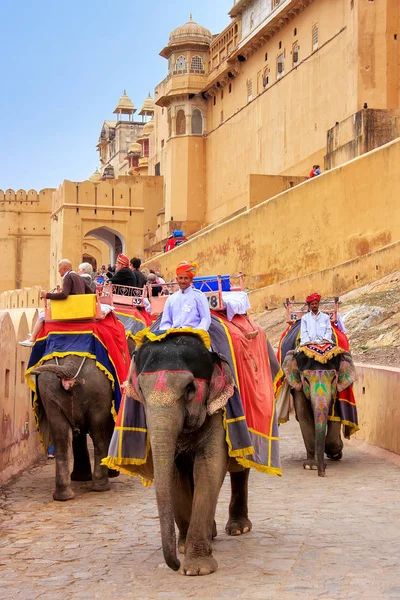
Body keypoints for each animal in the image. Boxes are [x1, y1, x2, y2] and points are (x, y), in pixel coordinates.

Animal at [129, 332, 253, 576]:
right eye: (140, 389)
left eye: (189, 388)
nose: (175, 564)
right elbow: (175, 473)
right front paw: (184, 547)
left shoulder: (218, 408)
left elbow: (210, 465)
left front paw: (197, 569)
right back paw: (211, 534)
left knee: (240, 467)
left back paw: (238, 529)